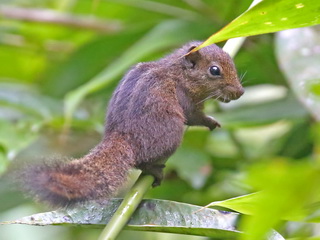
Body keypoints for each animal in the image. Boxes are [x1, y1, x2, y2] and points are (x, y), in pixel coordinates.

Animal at [21, 40, 244, 206]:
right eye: (214, 70)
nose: (240, 92)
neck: (177, 72)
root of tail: (122, 137)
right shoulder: (185, 98)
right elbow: (193, 117)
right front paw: (211, 122)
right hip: (170, 136)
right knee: (140, 161)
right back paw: (154, 170)